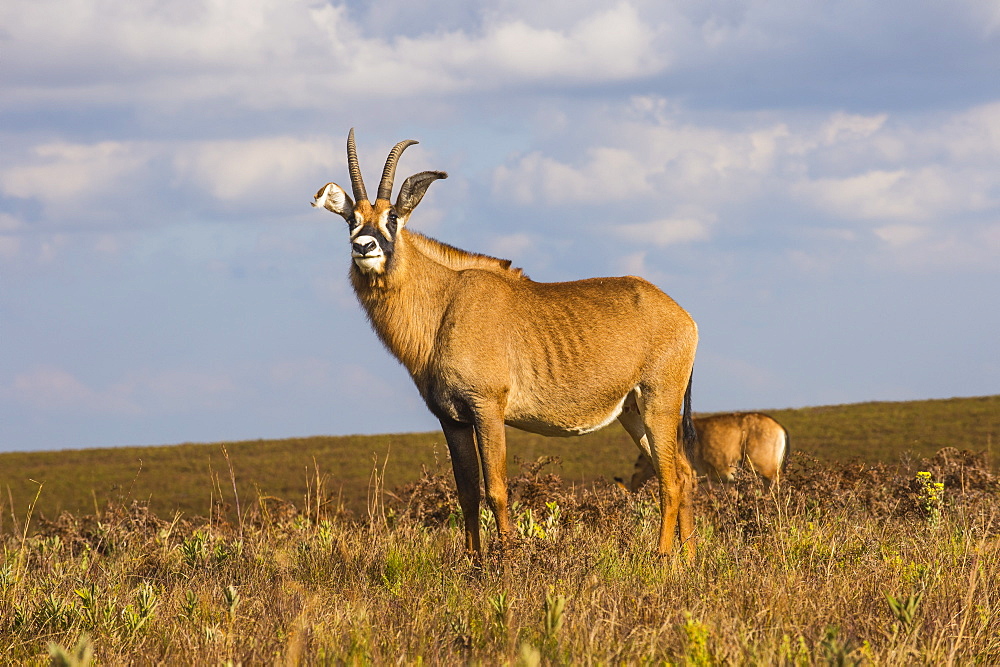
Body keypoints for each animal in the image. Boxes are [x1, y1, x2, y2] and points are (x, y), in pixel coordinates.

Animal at [316, 129, 700, 560]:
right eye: (351, 219)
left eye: (393, 217)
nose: (364, 247)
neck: (445, 302)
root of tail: (684, 317)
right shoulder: (452, 419)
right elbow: (467, 494)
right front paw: (474, 563)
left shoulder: (487, 408)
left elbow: (496, 491)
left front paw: (506, 561)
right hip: (632, 412)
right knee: (685, 474)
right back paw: (688, 561)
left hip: (658, 403)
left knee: (670, 479)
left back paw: (664, 559)